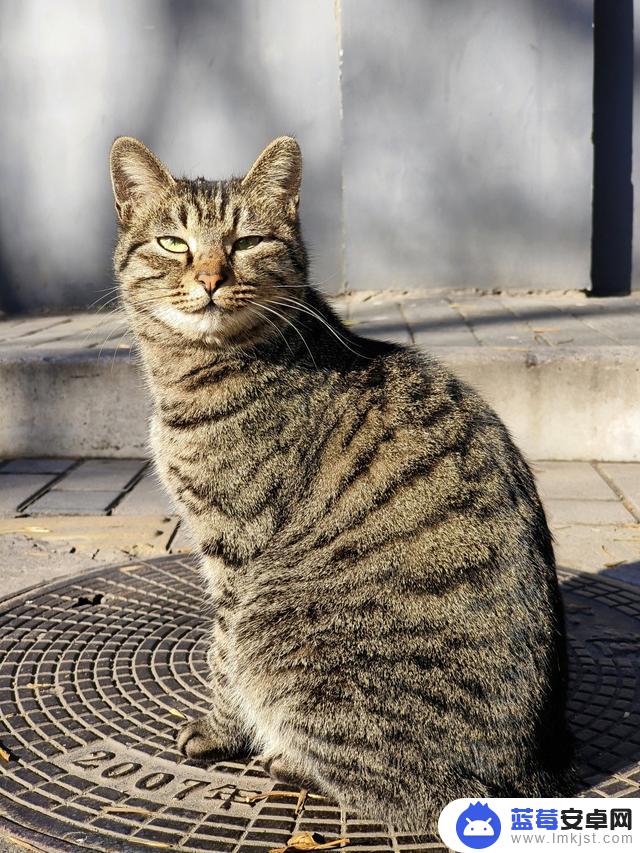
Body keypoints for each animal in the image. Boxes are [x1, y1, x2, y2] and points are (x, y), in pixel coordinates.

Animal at [107, 136, 572, 828]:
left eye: (247, 242)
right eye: (173, 243)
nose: (211, 278)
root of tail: (529, 773)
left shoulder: (234, 547)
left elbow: (223, 655)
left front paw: (220, 731)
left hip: (280, 632)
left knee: (394, 790)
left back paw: (286, 760)